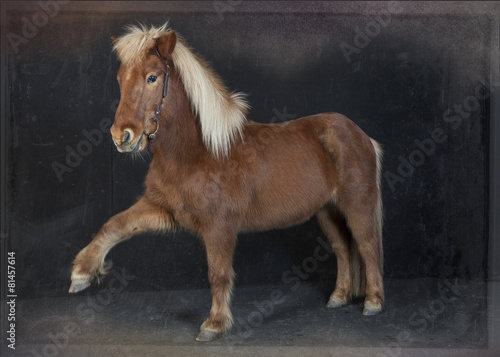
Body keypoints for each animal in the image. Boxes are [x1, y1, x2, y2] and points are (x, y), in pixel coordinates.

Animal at [68, 23, 384, 340]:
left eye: (152, 77)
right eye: (120, 77)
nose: (122, 136)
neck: (198, 152)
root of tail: (360, 135)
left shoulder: (219, 227)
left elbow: (218, 273)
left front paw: (215, 324)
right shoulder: (164, 210)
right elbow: (115, 225)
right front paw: (81, 272)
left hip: (357, 207)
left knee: (368, 246)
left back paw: (373, 302)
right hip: (327, 211)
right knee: (343, 249)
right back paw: (339, 297)